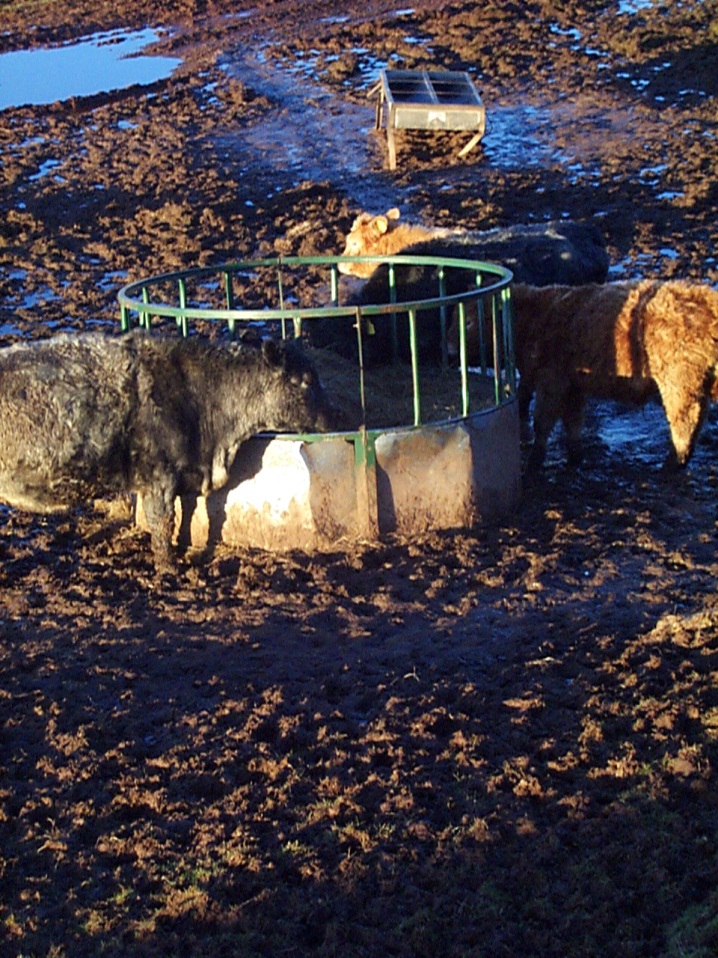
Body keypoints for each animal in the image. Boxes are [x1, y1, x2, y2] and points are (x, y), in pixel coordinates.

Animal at [512, 280, 718, 470]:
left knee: (684, 424)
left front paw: (533, 462)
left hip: (679, 383)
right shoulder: (573, 386)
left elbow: (542, 422)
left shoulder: (551, 379)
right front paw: (574, 458)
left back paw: (670, 463)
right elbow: (573, 423)